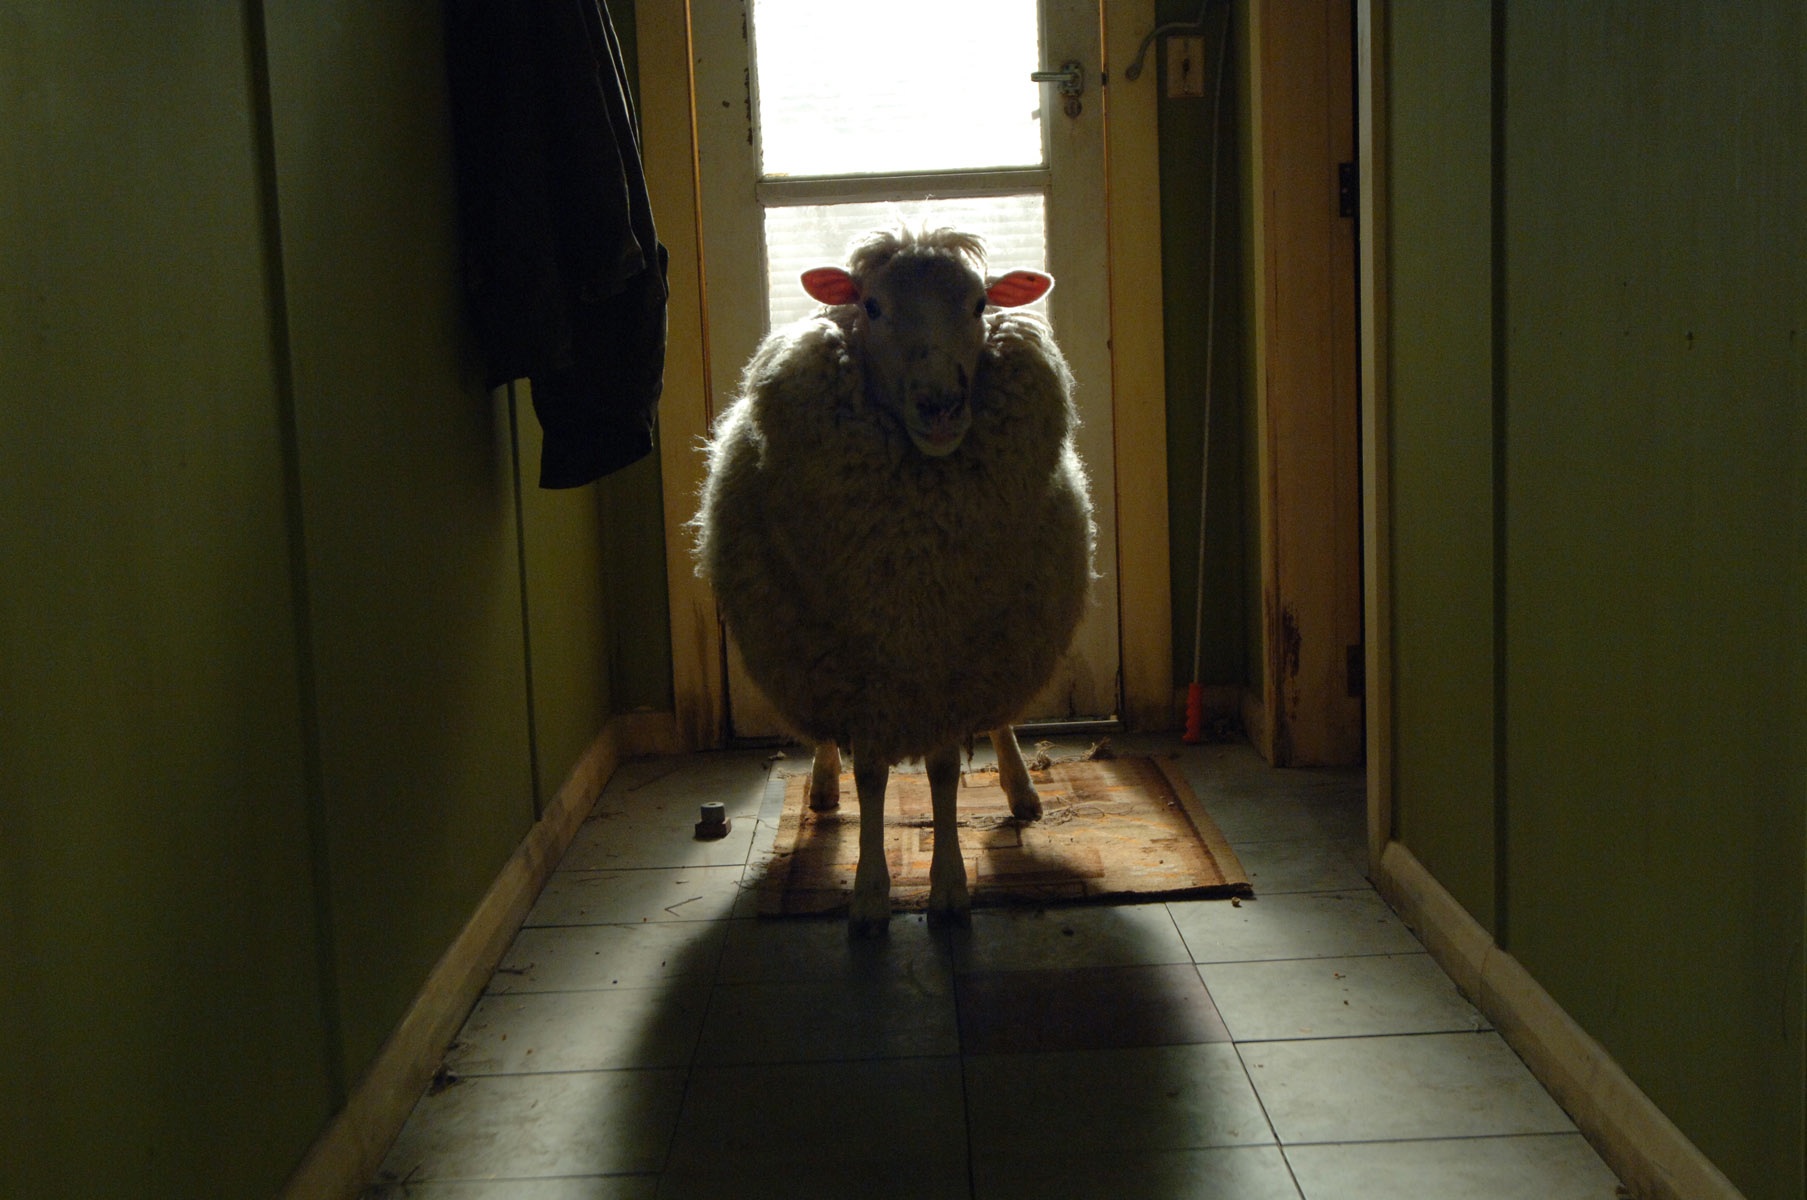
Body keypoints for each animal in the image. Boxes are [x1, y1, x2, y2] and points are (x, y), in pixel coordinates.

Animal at [690, 226, 1095, 935]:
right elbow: (874, 779)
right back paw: (824, 786)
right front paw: (871, 893)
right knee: (830, 745)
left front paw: (950, 887)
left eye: (980, 304)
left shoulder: (948, 663)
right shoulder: (863, 671)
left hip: (1002, 640)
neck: (913, 567)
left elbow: (942, 772)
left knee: (999, 721)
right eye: (871, 306)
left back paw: (1021, 790)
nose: (941, 406)